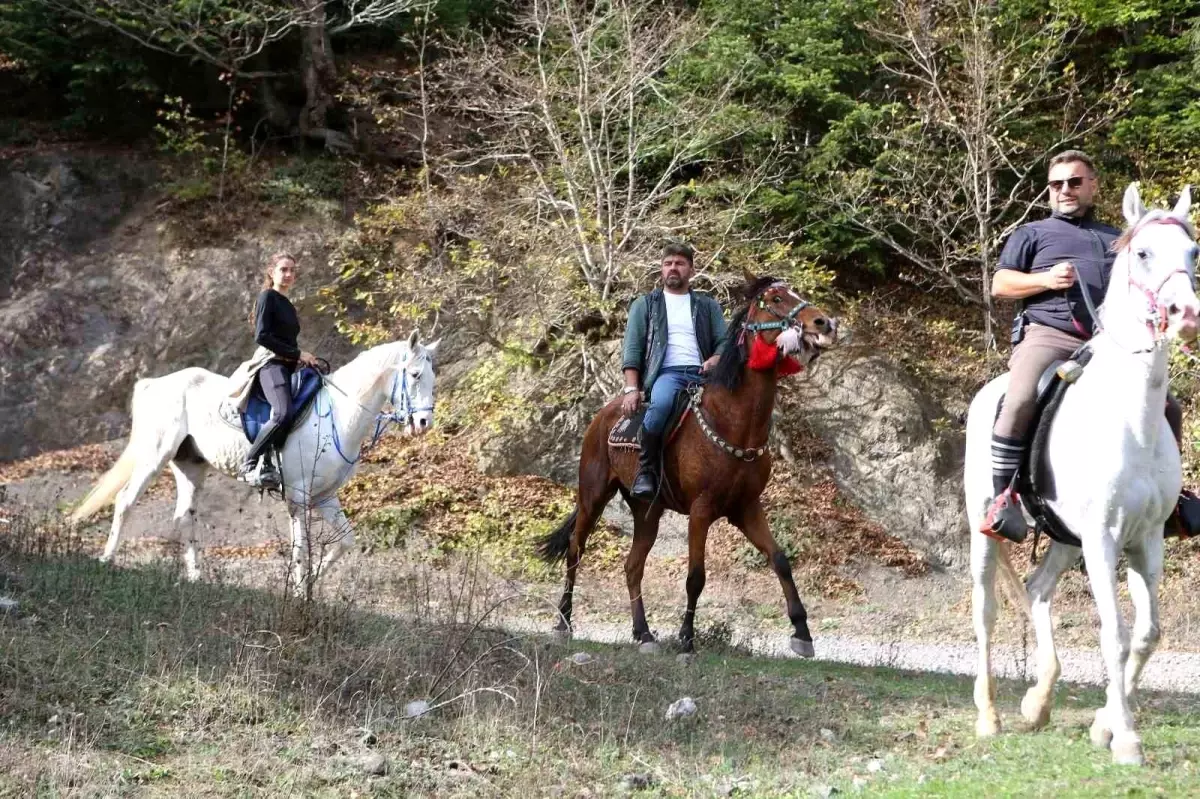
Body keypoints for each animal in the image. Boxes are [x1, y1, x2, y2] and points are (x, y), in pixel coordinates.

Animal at [69, 326, 441, 587]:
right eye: (415, 375)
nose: (424, 423)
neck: (336, 415)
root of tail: (155, 383)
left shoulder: (324, 497)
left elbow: (345, 541)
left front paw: (312, 583)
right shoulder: (298, 497)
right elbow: (299, 548)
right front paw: (299, 590)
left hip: (190, 466)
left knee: (184, 516)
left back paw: (195, 577)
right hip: (154, 455)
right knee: (125, 500)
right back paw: (107, 560)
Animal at [540, 273, 840, 652]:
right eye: (775, 298)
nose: (824, 323)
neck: (733, 422)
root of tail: (603, 417)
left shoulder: (746, 508)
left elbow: (780, 560)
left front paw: (801, 632)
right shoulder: (701, 510)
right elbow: (696, 576)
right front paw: (686, 637)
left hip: (647, 511)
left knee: (632, 566)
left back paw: (643, 633)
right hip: (593, 495)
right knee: (575, 551)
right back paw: (563, 622)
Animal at [969, 183, 1195, 763]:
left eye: (1192, 253)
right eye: (1144, 253)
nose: (1185, 313)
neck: (1131, 419)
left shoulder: (1144, 541)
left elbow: (1147, 633)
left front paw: (1104, 725)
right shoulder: (1103, 539)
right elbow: (1114, 633)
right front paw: (1127, 740)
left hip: (1065, 539)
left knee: (1037, 588)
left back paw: (1038, 701)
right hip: (988, 531)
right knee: (986, 611)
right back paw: (990, 716)